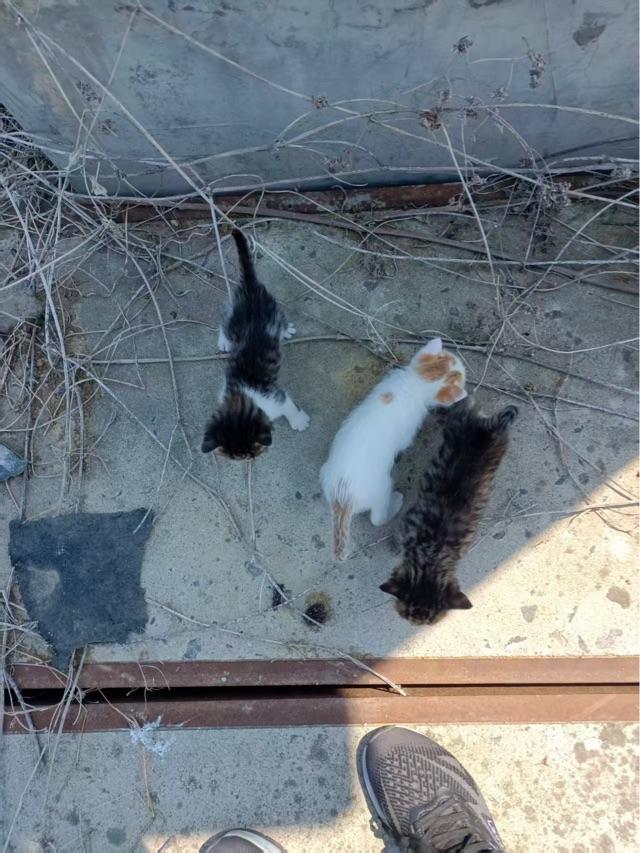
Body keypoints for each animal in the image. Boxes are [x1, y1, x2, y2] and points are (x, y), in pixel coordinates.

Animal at [202, 229, 309, 459]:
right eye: (234, 455)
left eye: (252, 449)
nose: (245, 459)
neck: (240, 397)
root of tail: (250, 289)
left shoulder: (276, 397)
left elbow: (289, 405)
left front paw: (298, 421)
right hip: (241, 317)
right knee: (225, 322)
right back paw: (225, 342)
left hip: (271, 309)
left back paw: (286, 331)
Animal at [320, 338, 467, 560]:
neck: (415, 383)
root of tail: (343, 499)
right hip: (381, 487)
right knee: (377, 518)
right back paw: (396, 503)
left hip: (325, 474)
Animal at [380, 400, 518, 625]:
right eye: (408, 616)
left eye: (428, 622)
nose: (416, 624)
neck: (431, 556)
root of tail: (488, 430)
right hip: (460, 423)